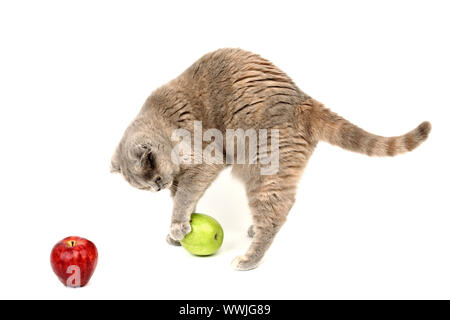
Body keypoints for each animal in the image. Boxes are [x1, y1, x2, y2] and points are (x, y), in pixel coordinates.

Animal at [110, 48, 430, 272]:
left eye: (153, 178)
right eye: (144, 187)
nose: (157, 187)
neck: (162, 122)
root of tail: (304, 100)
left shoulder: (205, 161)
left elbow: (184, 198)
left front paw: (177, 226)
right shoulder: (182, 177)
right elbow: (186, 199)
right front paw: (178, 231)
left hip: (262, 167)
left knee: (278, 211)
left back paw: (248, 258)